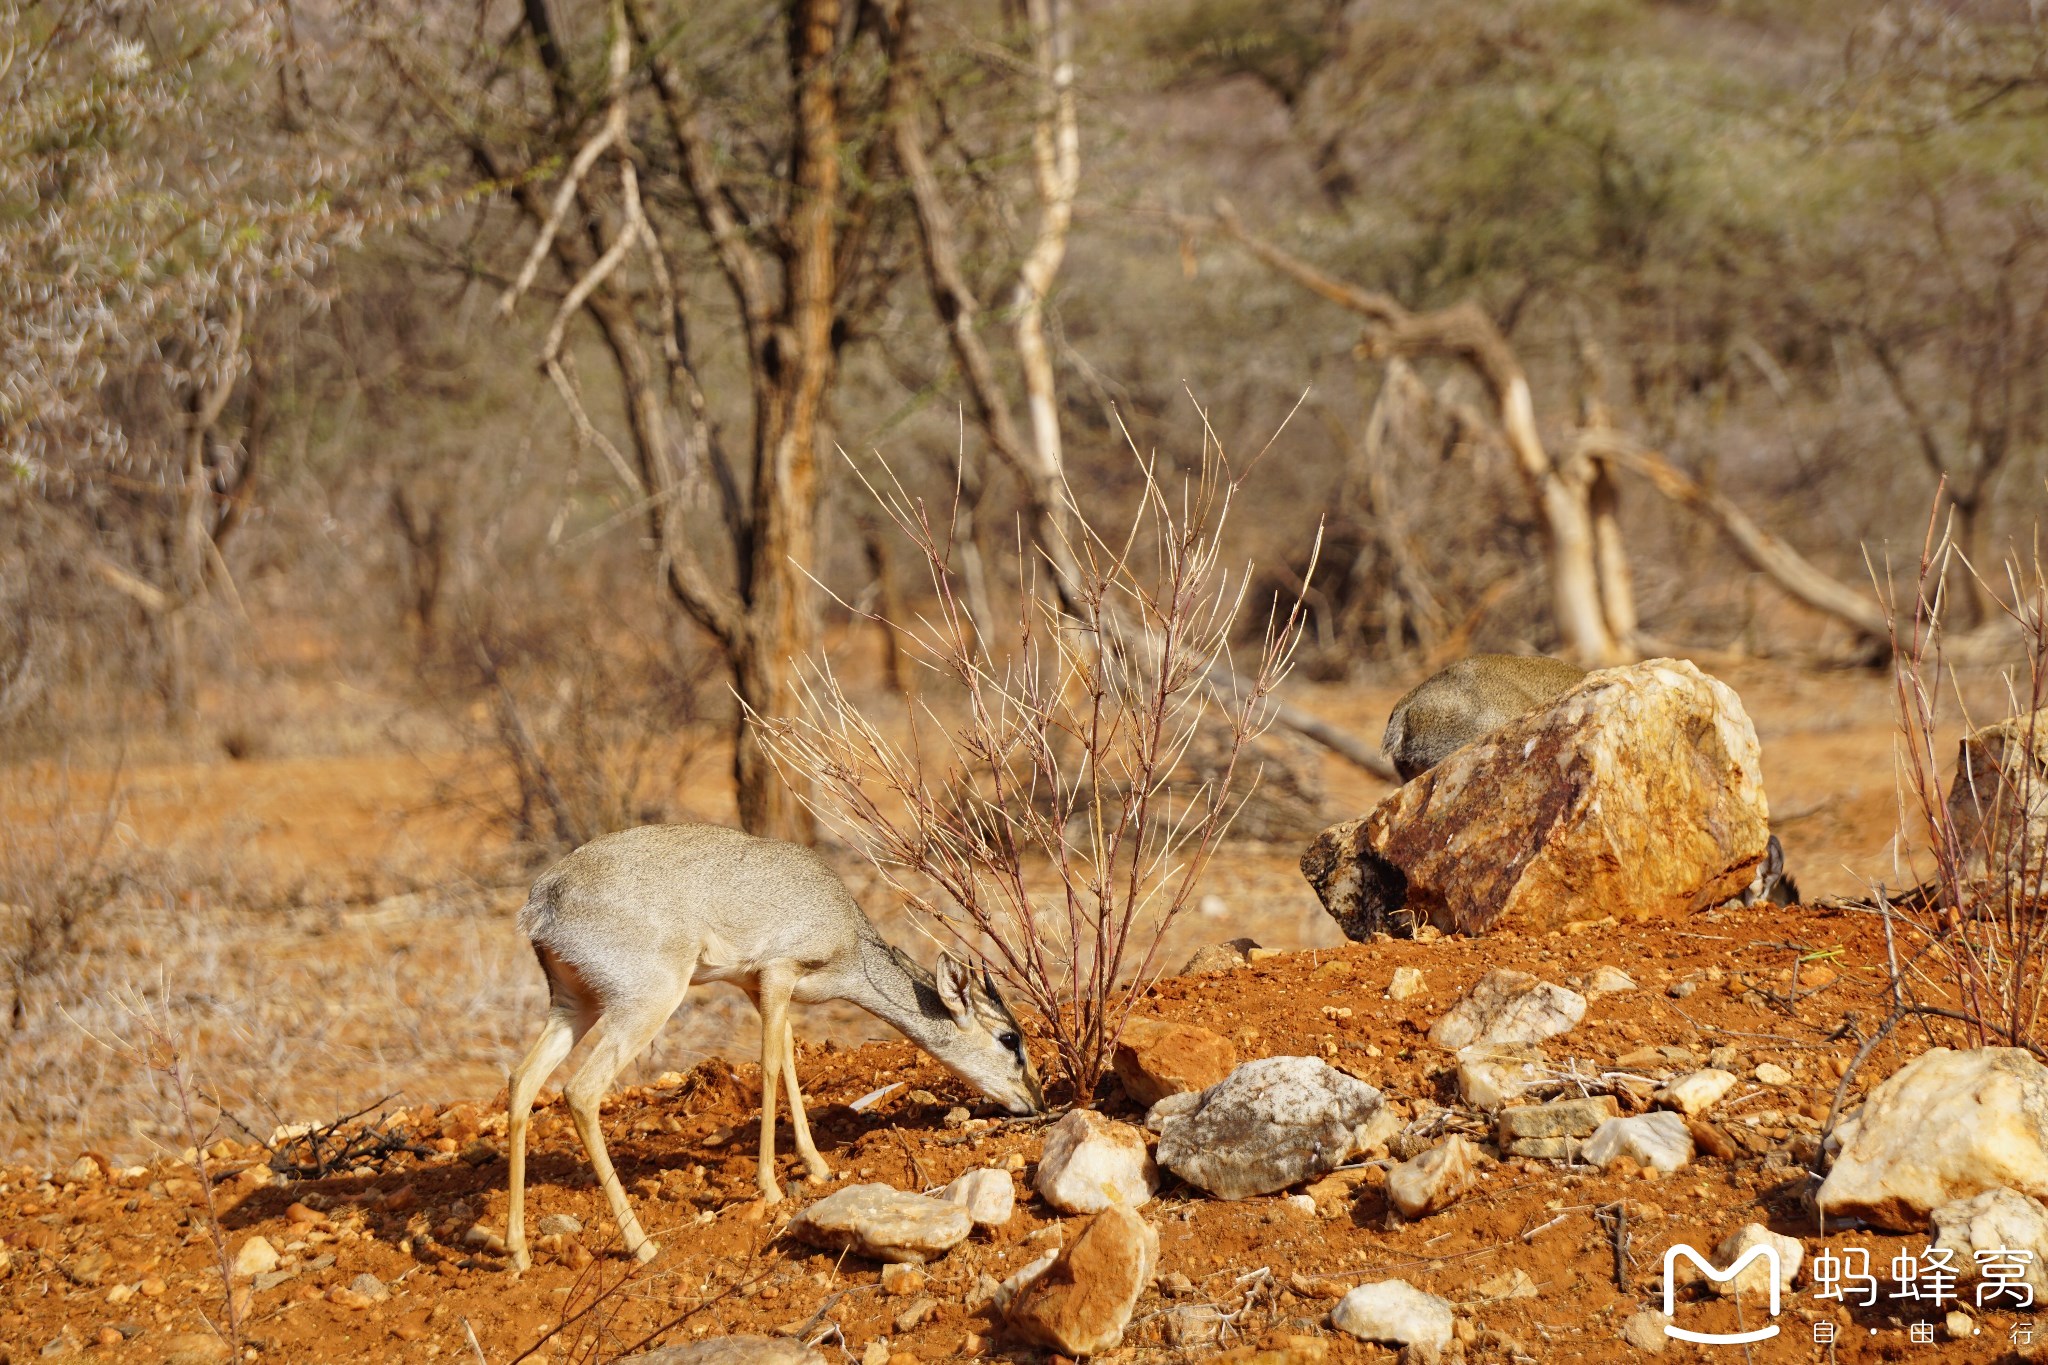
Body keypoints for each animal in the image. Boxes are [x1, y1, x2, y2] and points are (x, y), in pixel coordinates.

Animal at [497, 826, 1040, 1277]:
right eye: (1009, 1039)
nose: (1036, 1102)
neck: (849, 943)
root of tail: (542, 901)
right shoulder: (779, 972)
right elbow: (772, 1066)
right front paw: (771, 1186)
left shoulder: (759, 988)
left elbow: (790, 1061)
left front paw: (817, 1166)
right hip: (644, 1004)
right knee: (580, 1091)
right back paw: (642, 1245)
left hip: (573, 1006)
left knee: (522, 1081)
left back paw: (518, 1253)